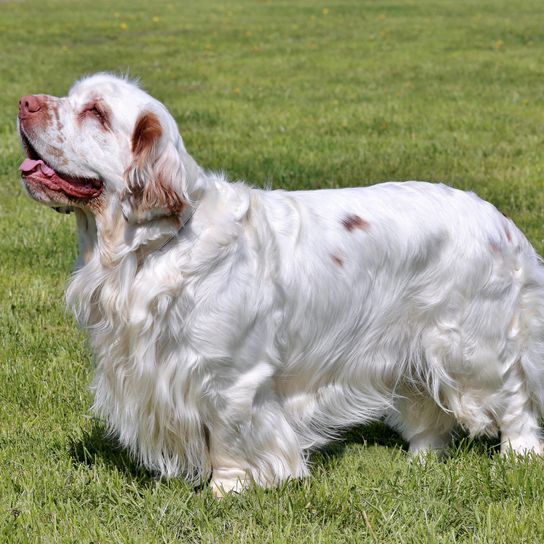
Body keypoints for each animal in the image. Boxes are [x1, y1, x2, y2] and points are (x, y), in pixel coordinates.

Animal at [17, 74, 544, 496]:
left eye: (96, 113)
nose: (24, 102)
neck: (152, 247)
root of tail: (501, 222)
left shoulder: (230, 377)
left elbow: (227, 440)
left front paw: (226, 492)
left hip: (471, 345)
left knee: (513, 397)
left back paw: (520, 454)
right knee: (428, 408)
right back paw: (420, 460)